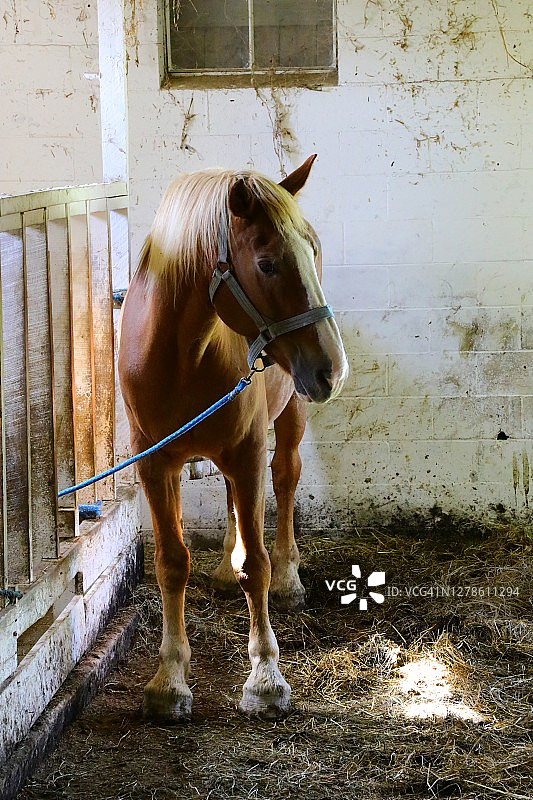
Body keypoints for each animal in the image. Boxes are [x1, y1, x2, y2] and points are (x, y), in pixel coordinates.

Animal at [118, 155, 348, 721]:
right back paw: (224, 567)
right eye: (266, 264)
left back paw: (289, 580)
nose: (334, 369)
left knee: (285, 482)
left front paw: (265, 676)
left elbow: (258, 565)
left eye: (312, 250)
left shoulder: (248, 454)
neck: (180, 359)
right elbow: (172, 563)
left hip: (290, 415)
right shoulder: (154, 464)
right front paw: (169, 679)